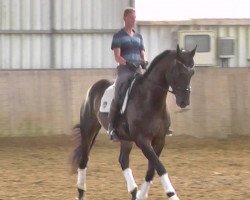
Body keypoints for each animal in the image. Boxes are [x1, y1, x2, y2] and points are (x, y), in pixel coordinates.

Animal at [71, 44, 196, 199]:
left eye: (192, 72)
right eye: (179, 71)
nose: (184, 102)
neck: (150, 100)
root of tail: (93, 88)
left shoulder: (160, 140)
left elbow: (152, 170)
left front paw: (141, 195)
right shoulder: (142, 140)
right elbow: (160, 167)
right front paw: (172, 194)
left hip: (126, 139)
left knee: (123, 160)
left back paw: (134, 192)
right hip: (88, 129)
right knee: (84, 160)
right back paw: (81, 192)